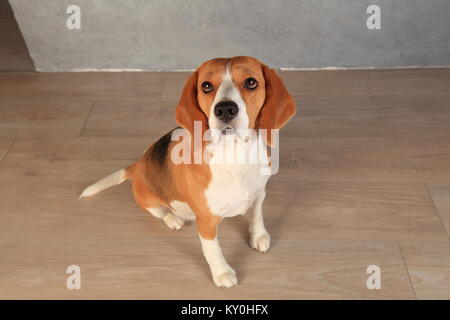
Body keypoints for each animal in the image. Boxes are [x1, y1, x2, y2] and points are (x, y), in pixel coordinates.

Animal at [81, 55, 298, 288]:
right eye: (206, 86)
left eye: (251, 82)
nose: (225, 109)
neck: (234, 156)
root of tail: (138, 165)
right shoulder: (206, 222)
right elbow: (213, 250)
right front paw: (222, 273)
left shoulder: (259, 194)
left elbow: (256, 216)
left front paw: (258, 237)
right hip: (150, 202)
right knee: (162, 212)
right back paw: (173, 220)